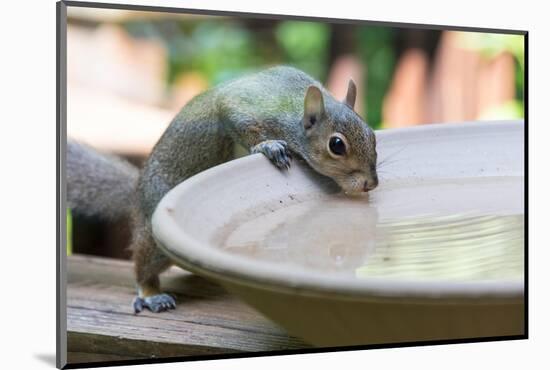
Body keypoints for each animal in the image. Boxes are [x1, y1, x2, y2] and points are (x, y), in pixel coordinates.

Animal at [68, 66, 380, 312]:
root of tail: (136, 194)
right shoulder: (244, 106)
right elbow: (236, 117)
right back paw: (151, 294)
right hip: (153, 231)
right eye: (336, 145)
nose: (371, 183)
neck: (293, 111)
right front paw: (269, 146)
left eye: (372, 135)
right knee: (143, 264)